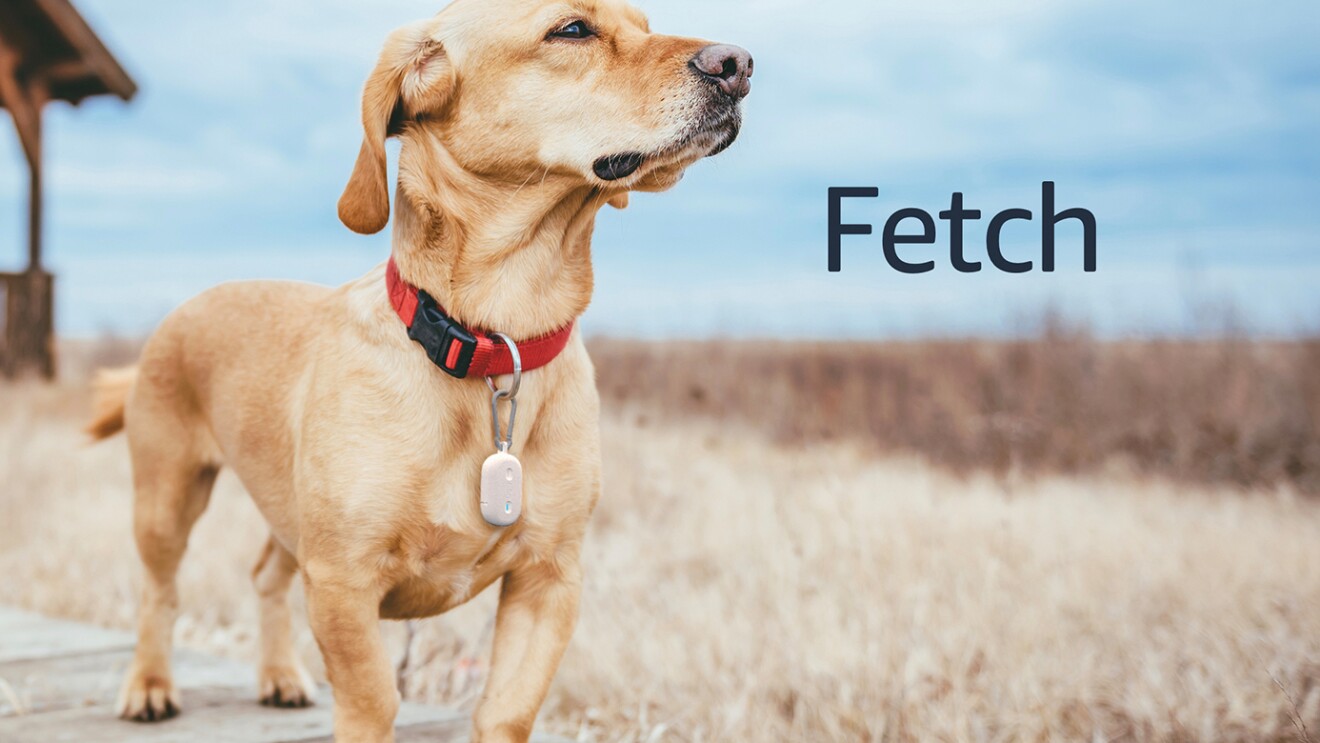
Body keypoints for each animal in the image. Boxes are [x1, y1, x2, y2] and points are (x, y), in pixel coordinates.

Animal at [87, 0, 755, 739]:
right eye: (572, 30)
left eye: (647, 23)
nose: (738, 63)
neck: (495, 339)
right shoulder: (343, 580)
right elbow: (375, 700)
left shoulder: (550, 578)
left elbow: (506, 710)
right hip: (167, 499)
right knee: (160, 591)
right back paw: (149, 685)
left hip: (287, 510)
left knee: (265, 574)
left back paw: (280, 675)